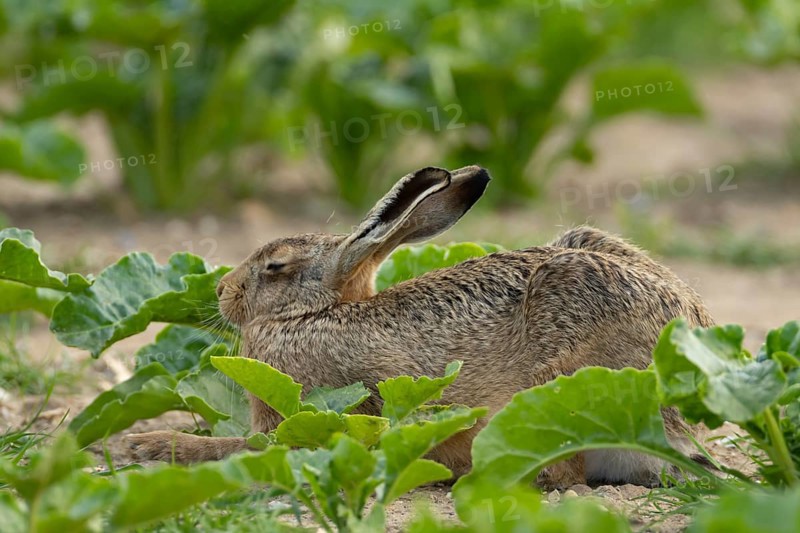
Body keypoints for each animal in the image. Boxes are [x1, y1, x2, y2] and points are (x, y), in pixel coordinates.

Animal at [127, 165, 713, 488]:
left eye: (275, 268)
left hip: (561, 362)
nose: (222, 291)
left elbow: (242, 447)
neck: (312, 315)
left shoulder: (323, 415)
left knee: (562, 472)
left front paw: (148, 447)